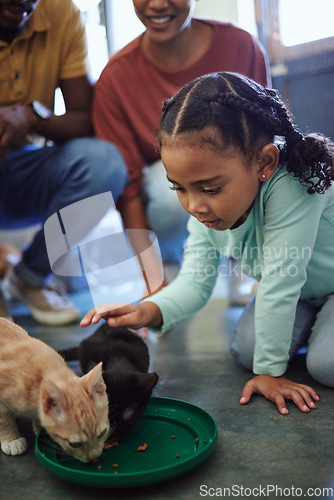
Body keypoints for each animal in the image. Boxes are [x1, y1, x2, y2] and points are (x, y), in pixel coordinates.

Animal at [0, 318, 109, 462]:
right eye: (75, 444)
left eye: (102, 433)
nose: (93, 457)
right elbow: (4, 420)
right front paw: (12, 440)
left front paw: (39, 428)